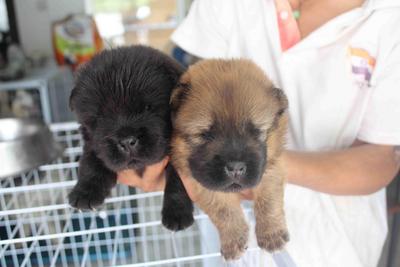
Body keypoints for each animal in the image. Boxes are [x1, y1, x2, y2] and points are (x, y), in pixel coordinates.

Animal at [69, 45, 195, 231]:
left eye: (148, 107)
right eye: (100, 117)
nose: (127, 141)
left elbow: (178, 180)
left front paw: (176, 214)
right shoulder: (94, 144)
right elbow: (91, 162)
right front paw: (84, 193)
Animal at [168, 59, 288, 260]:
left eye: (256, 132)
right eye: (206, 135)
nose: (236, 167)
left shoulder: (270, 166)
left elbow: (268, 200)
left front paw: (272, 235)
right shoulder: (203, 184)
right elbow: (224, 211)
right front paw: (233, 242)